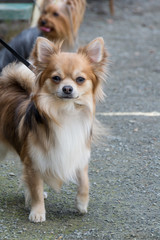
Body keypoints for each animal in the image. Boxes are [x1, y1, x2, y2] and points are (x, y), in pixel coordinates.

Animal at [0, 36, 107, 222]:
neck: (64, 111)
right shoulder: (34, 161)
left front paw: (81, 204)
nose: (67, 88)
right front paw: (37, 212)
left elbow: (84, 181)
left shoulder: (78, 154)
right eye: (56, 78)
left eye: (80, 79)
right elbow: (35, 188)